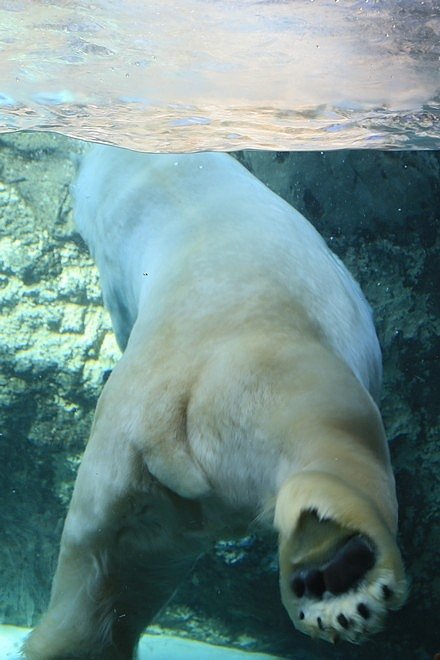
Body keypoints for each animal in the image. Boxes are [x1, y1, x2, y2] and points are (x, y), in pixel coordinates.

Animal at [24, 148, 408, 660]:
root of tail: (166, 422)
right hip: (268, 384)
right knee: (332, 444)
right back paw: (338, 576)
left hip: (121, 478)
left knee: (98, 586)